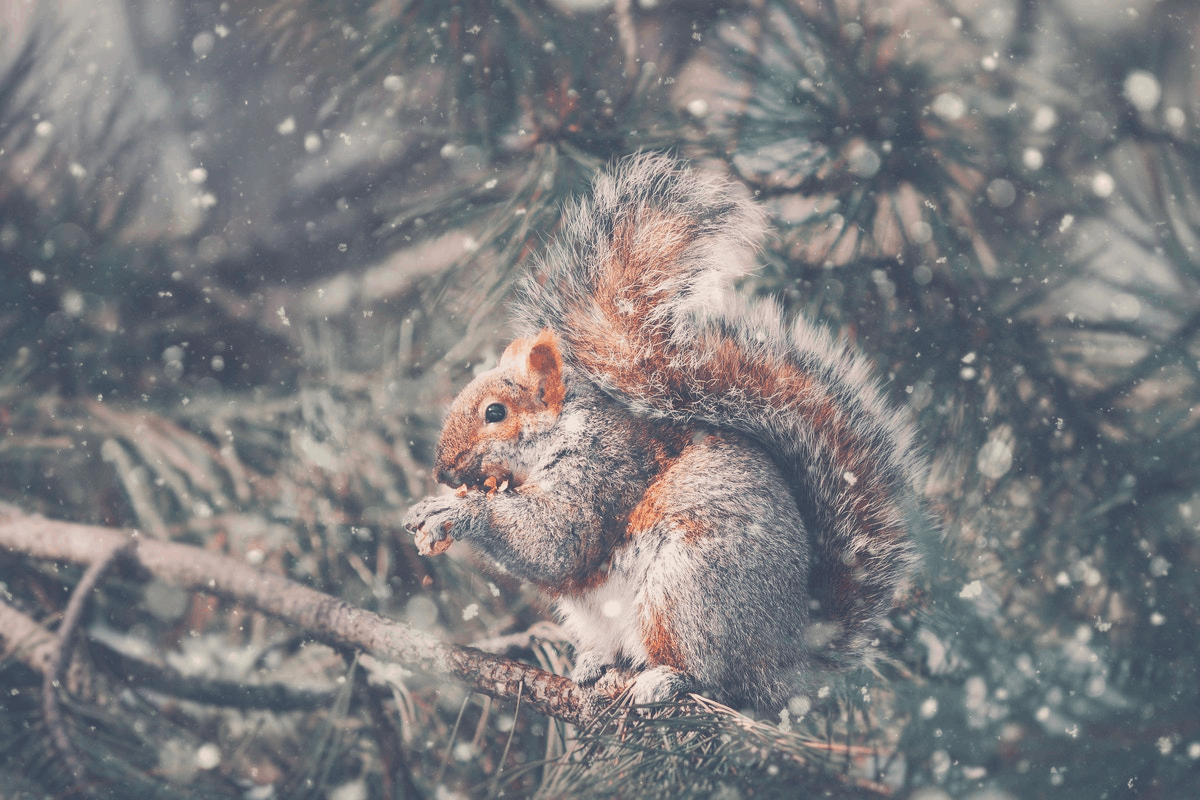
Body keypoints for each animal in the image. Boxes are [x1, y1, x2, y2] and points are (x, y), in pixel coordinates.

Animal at [403, 151, 926, 714]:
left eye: (495, 413)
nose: (442, 470)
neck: (561, 435)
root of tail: (790, 661)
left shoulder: (600, 472)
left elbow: (557, 541)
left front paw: (457, 511)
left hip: (687, 589)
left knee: (714, 675)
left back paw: (666, 680)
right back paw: (593, 663)